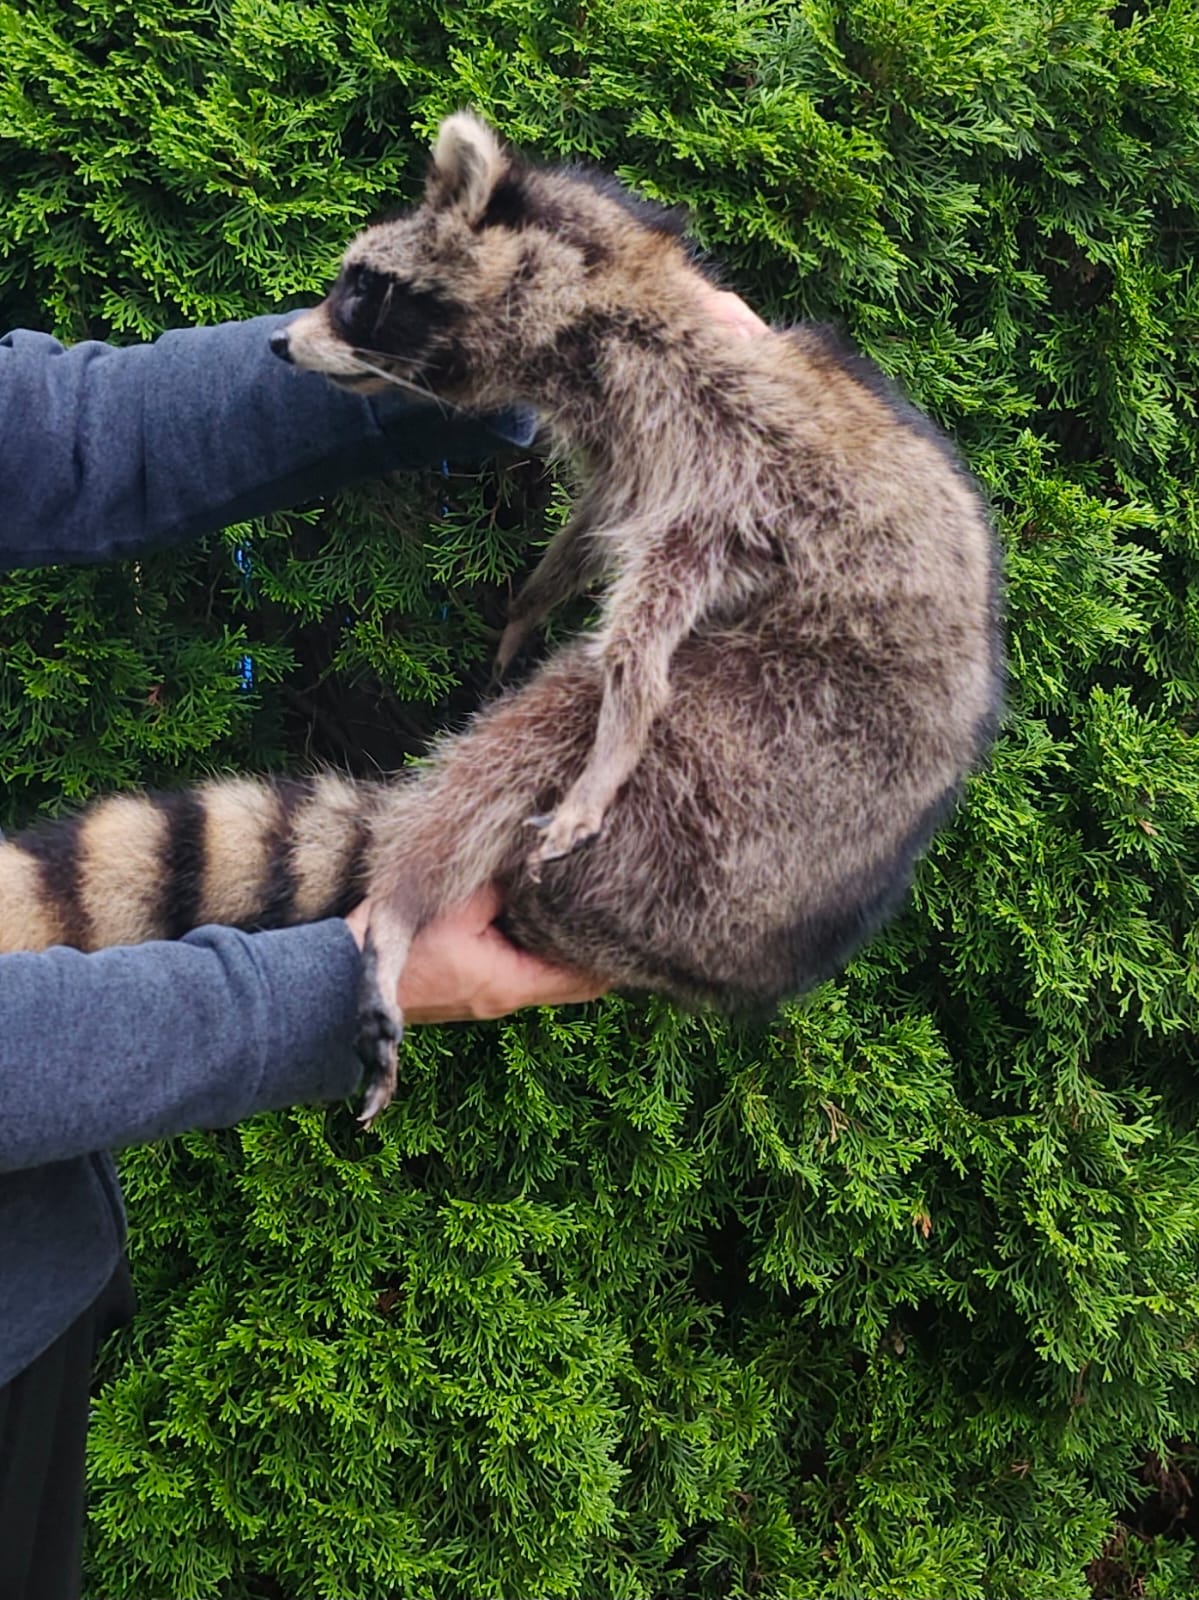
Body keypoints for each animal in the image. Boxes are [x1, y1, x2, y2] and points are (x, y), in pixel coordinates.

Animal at [0, 114, 1003, 1124]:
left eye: (360, 290)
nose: (278, 344)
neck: (607, 304)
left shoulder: (720, 460)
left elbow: (645, 634)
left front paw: (616, 732)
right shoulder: (630, 456)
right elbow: (589, 538)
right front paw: (530, 602)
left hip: (735, 778)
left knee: (550, 723)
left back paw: (404, 899)